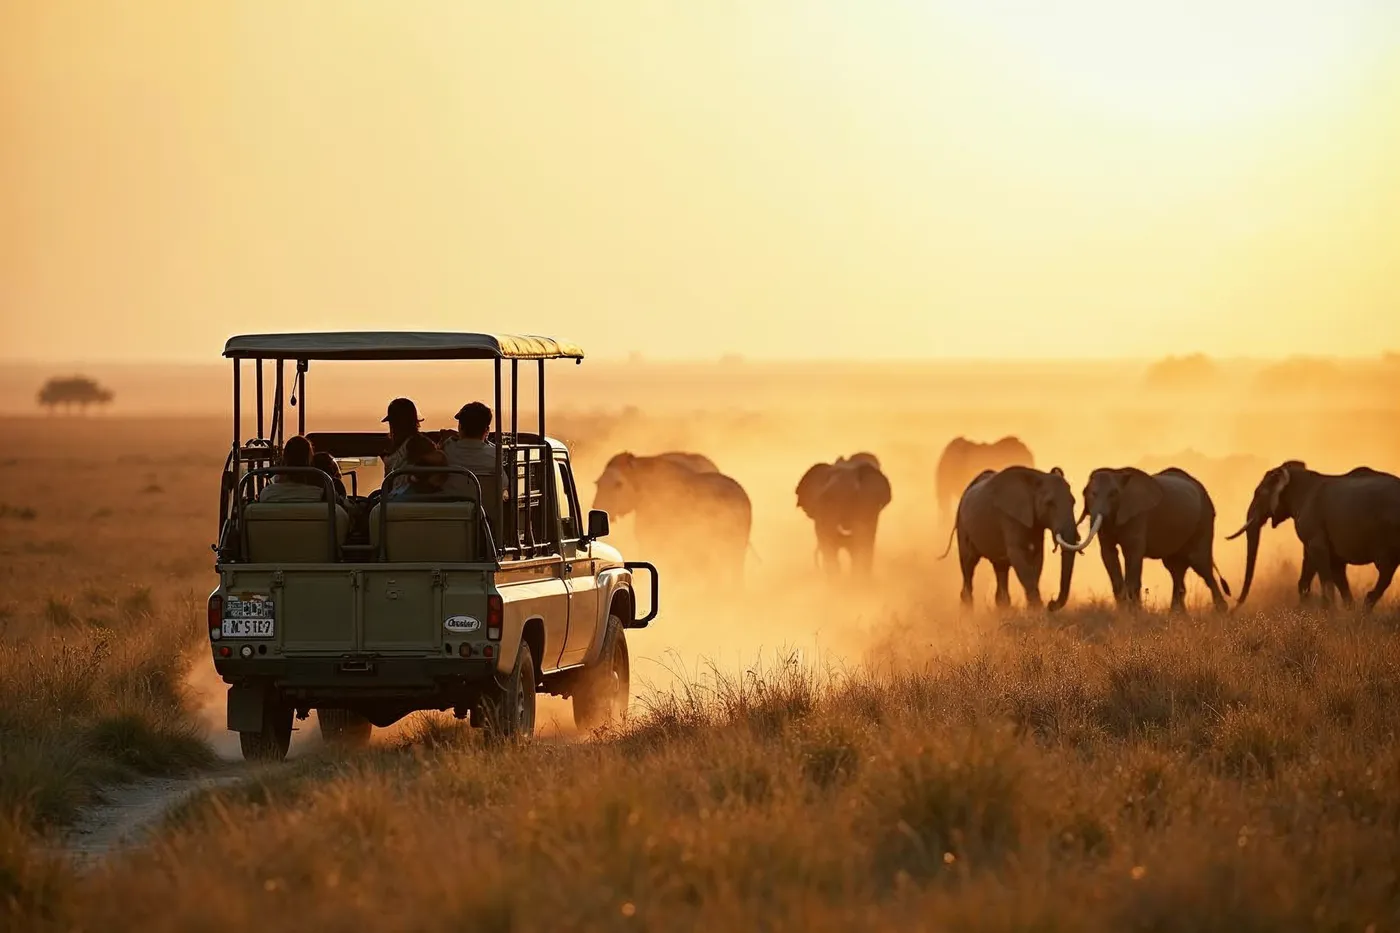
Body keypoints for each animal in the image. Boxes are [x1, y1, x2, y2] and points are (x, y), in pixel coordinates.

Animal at [940, 466, 1092, 611]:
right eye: (1049, 503)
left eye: (1073, 502)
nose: (1051, 603)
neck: (1037, 478)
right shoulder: (1010, 518)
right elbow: (1019, 557)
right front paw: (1039, 611)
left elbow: (1037, 559)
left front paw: (1034, 611)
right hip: (963, 526)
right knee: (968, 564)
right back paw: (967, 614)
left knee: (1000, 568)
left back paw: (1003, 610)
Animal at [1080, 467, 1231, 612]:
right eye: (1089, 493)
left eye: (1113, 494)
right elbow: (1108, 553)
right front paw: (1122, 612)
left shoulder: (1139, 517)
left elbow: (1132, 554)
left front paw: (1134, 614)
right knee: (1175, 568)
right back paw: (1177, 615)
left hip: (1204, 520)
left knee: (1200, 563)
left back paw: (1221, 611)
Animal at [1227, 461, 1400, 611]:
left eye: (1259, 493)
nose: (1233, 604)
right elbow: (1328, 567)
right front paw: (1345, 612)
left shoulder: (1312, 525)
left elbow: (1322, 562)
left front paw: (1331, 615)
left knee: (1385, 570)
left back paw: (1365, 608)